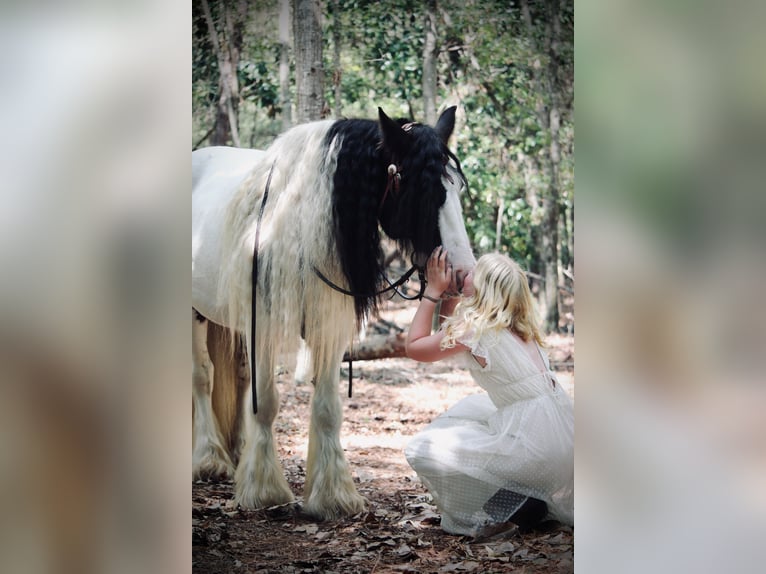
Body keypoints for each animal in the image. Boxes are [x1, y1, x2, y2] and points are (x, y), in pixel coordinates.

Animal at [192, 106, 476, 520]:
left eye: (456, 188)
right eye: (424, 191)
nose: (464, 273)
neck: (299, 224)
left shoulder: (326, 327)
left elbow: (327, 408)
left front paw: (331, 496)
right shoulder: (265, 324)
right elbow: (267, 404)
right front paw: (264, 491)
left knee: (240, 378)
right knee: (203, 376)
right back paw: (209, 459)